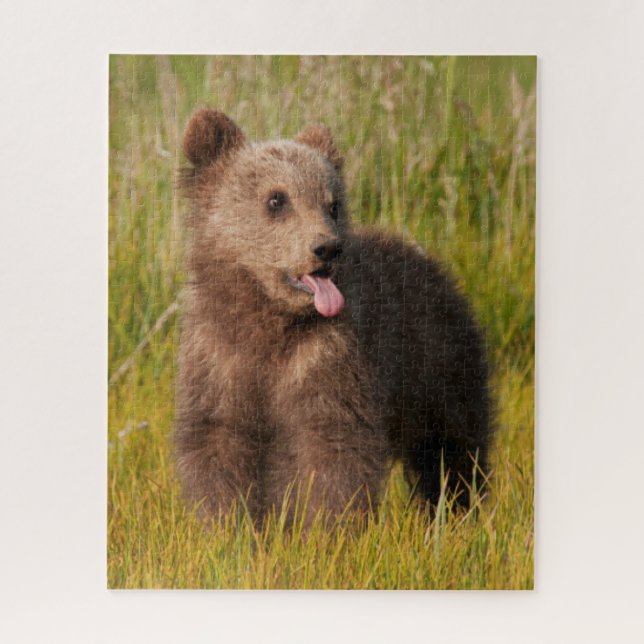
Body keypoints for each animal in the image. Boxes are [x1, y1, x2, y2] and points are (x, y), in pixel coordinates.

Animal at [175, 108, 491, 526]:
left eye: (332, 203)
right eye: (276, 199)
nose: (326, 247)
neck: (269, 320)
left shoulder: (326, 357)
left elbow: (331, 448)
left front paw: (325, 529)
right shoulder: (219, 359)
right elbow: (217, 443)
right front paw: (226, 527)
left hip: (437, 363)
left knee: (450, 447)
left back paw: (457, 510)